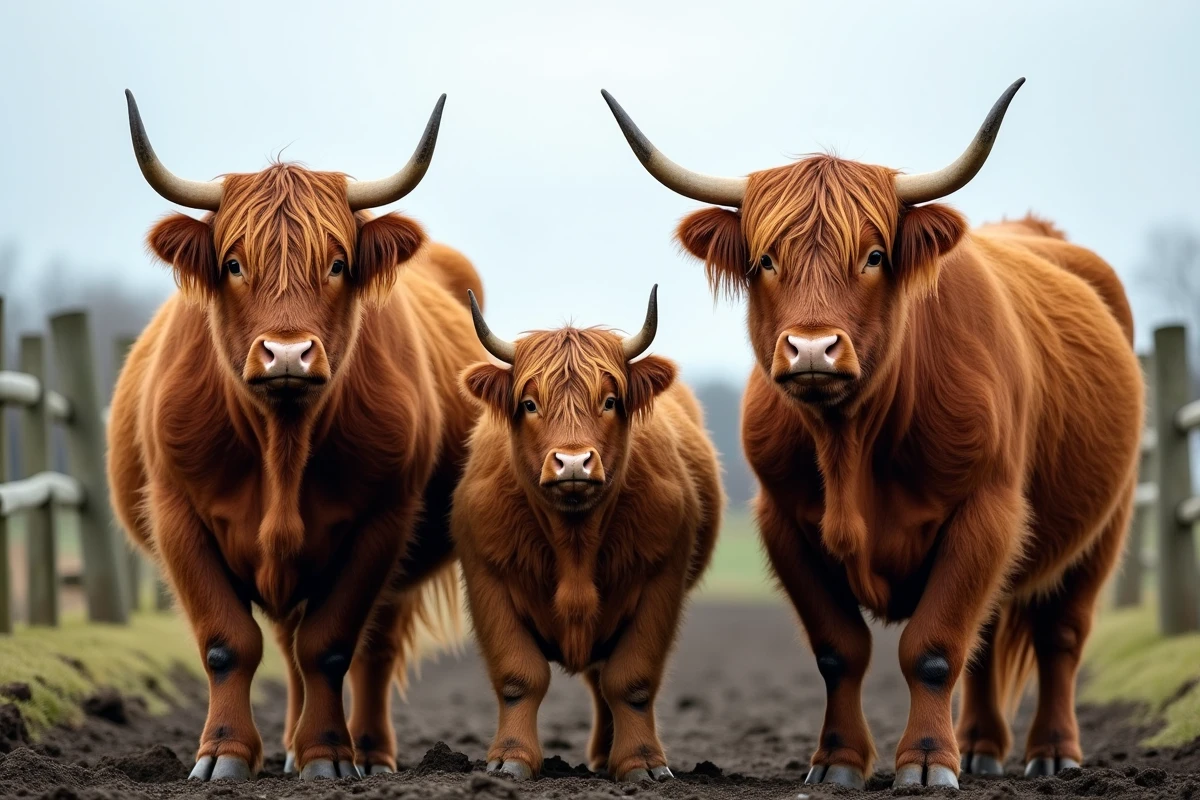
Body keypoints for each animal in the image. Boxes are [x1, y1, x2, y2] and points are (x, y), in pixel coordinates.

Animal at [107, 91, 486, 781]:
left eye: (337, 263)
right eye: (233, 263)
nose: (287, 353)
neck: (282, 445)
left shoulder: (382, 521)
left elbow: (331, 647)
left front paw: (329, 755)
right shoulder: (176, 512)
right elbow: (229, 643)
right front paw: (225, 752)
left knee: (372, 649)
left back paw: (370, 752)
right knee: (284, 644)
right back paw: (283, 746)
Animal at [450, 287, 723, 782]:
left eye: (610, 400)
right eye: (530, 404)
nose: (573, 462)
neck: (574, 542)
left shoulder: (662, 578)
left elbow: (631, 681)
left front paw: (641, 764)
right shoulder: (487, 577)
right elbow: (519, 676)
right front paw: (511, 759)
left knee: (603, 680)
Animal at [601, 79, 1142, 789]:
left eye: (875, 255)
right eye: (765, 259)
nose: (811, 348)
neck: (851, 445)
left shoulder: (986, 510)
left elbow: (933, 648)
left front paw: (927, 761)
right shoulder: (784, 523)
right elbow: (840, 650)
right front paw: (837, 760)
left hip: (1104, 527)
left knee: (1061, 636)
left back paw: (1052, 753)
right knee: (991, 636)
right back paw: (982, 747)